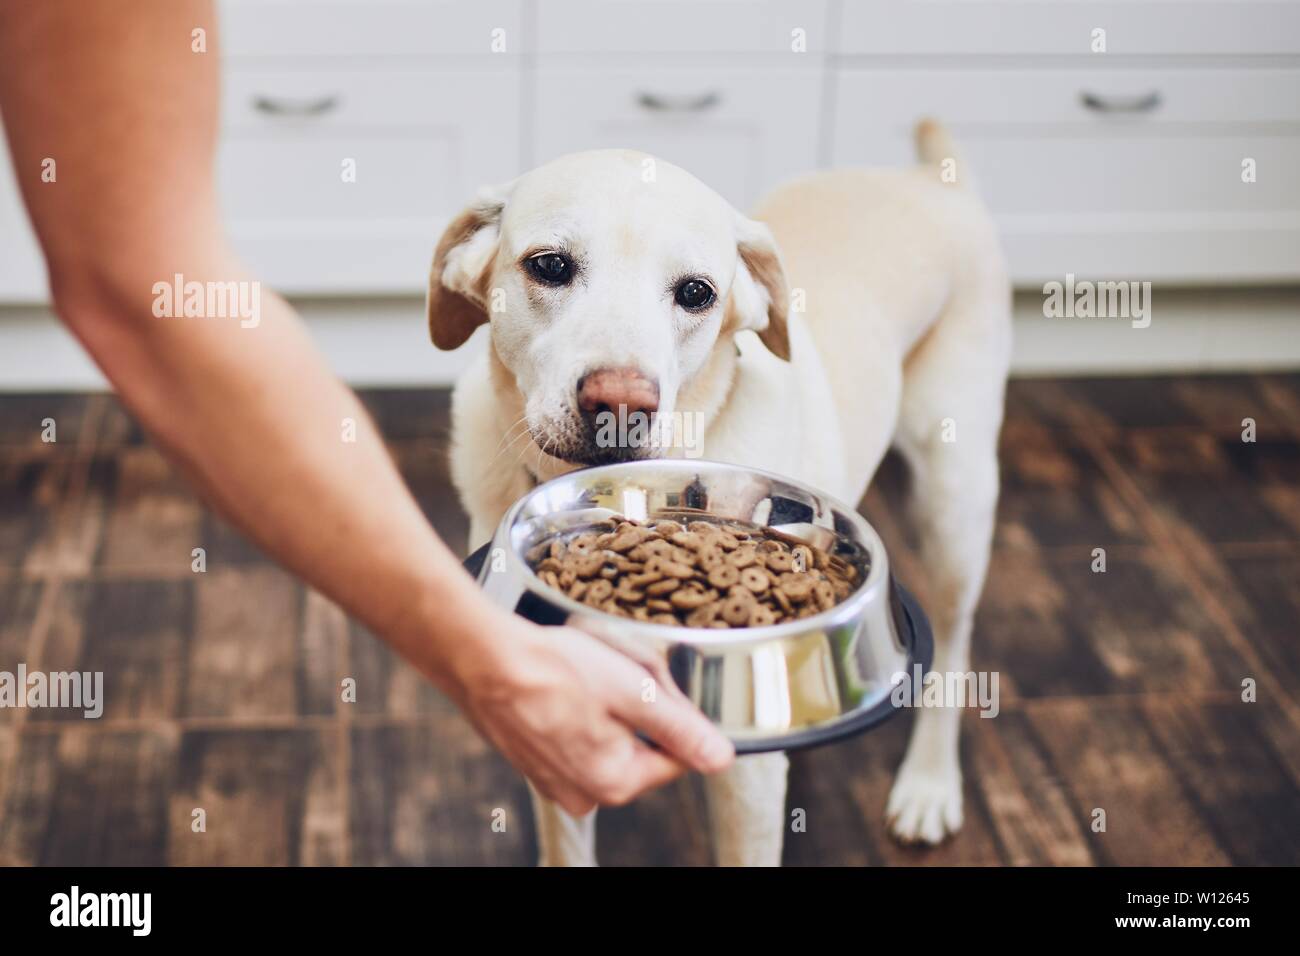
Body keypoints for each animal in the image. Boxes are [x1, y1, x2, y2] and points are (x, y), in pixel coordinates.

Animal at [428, 119, 1013, 868]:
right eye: (550, 266)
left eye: (696, 293)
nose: (620, 403)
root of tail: (935, 180)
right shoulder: (559, 734)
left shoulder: (747, 782)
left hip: (955, 504)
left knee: (958, 649)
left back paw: (929, 785)